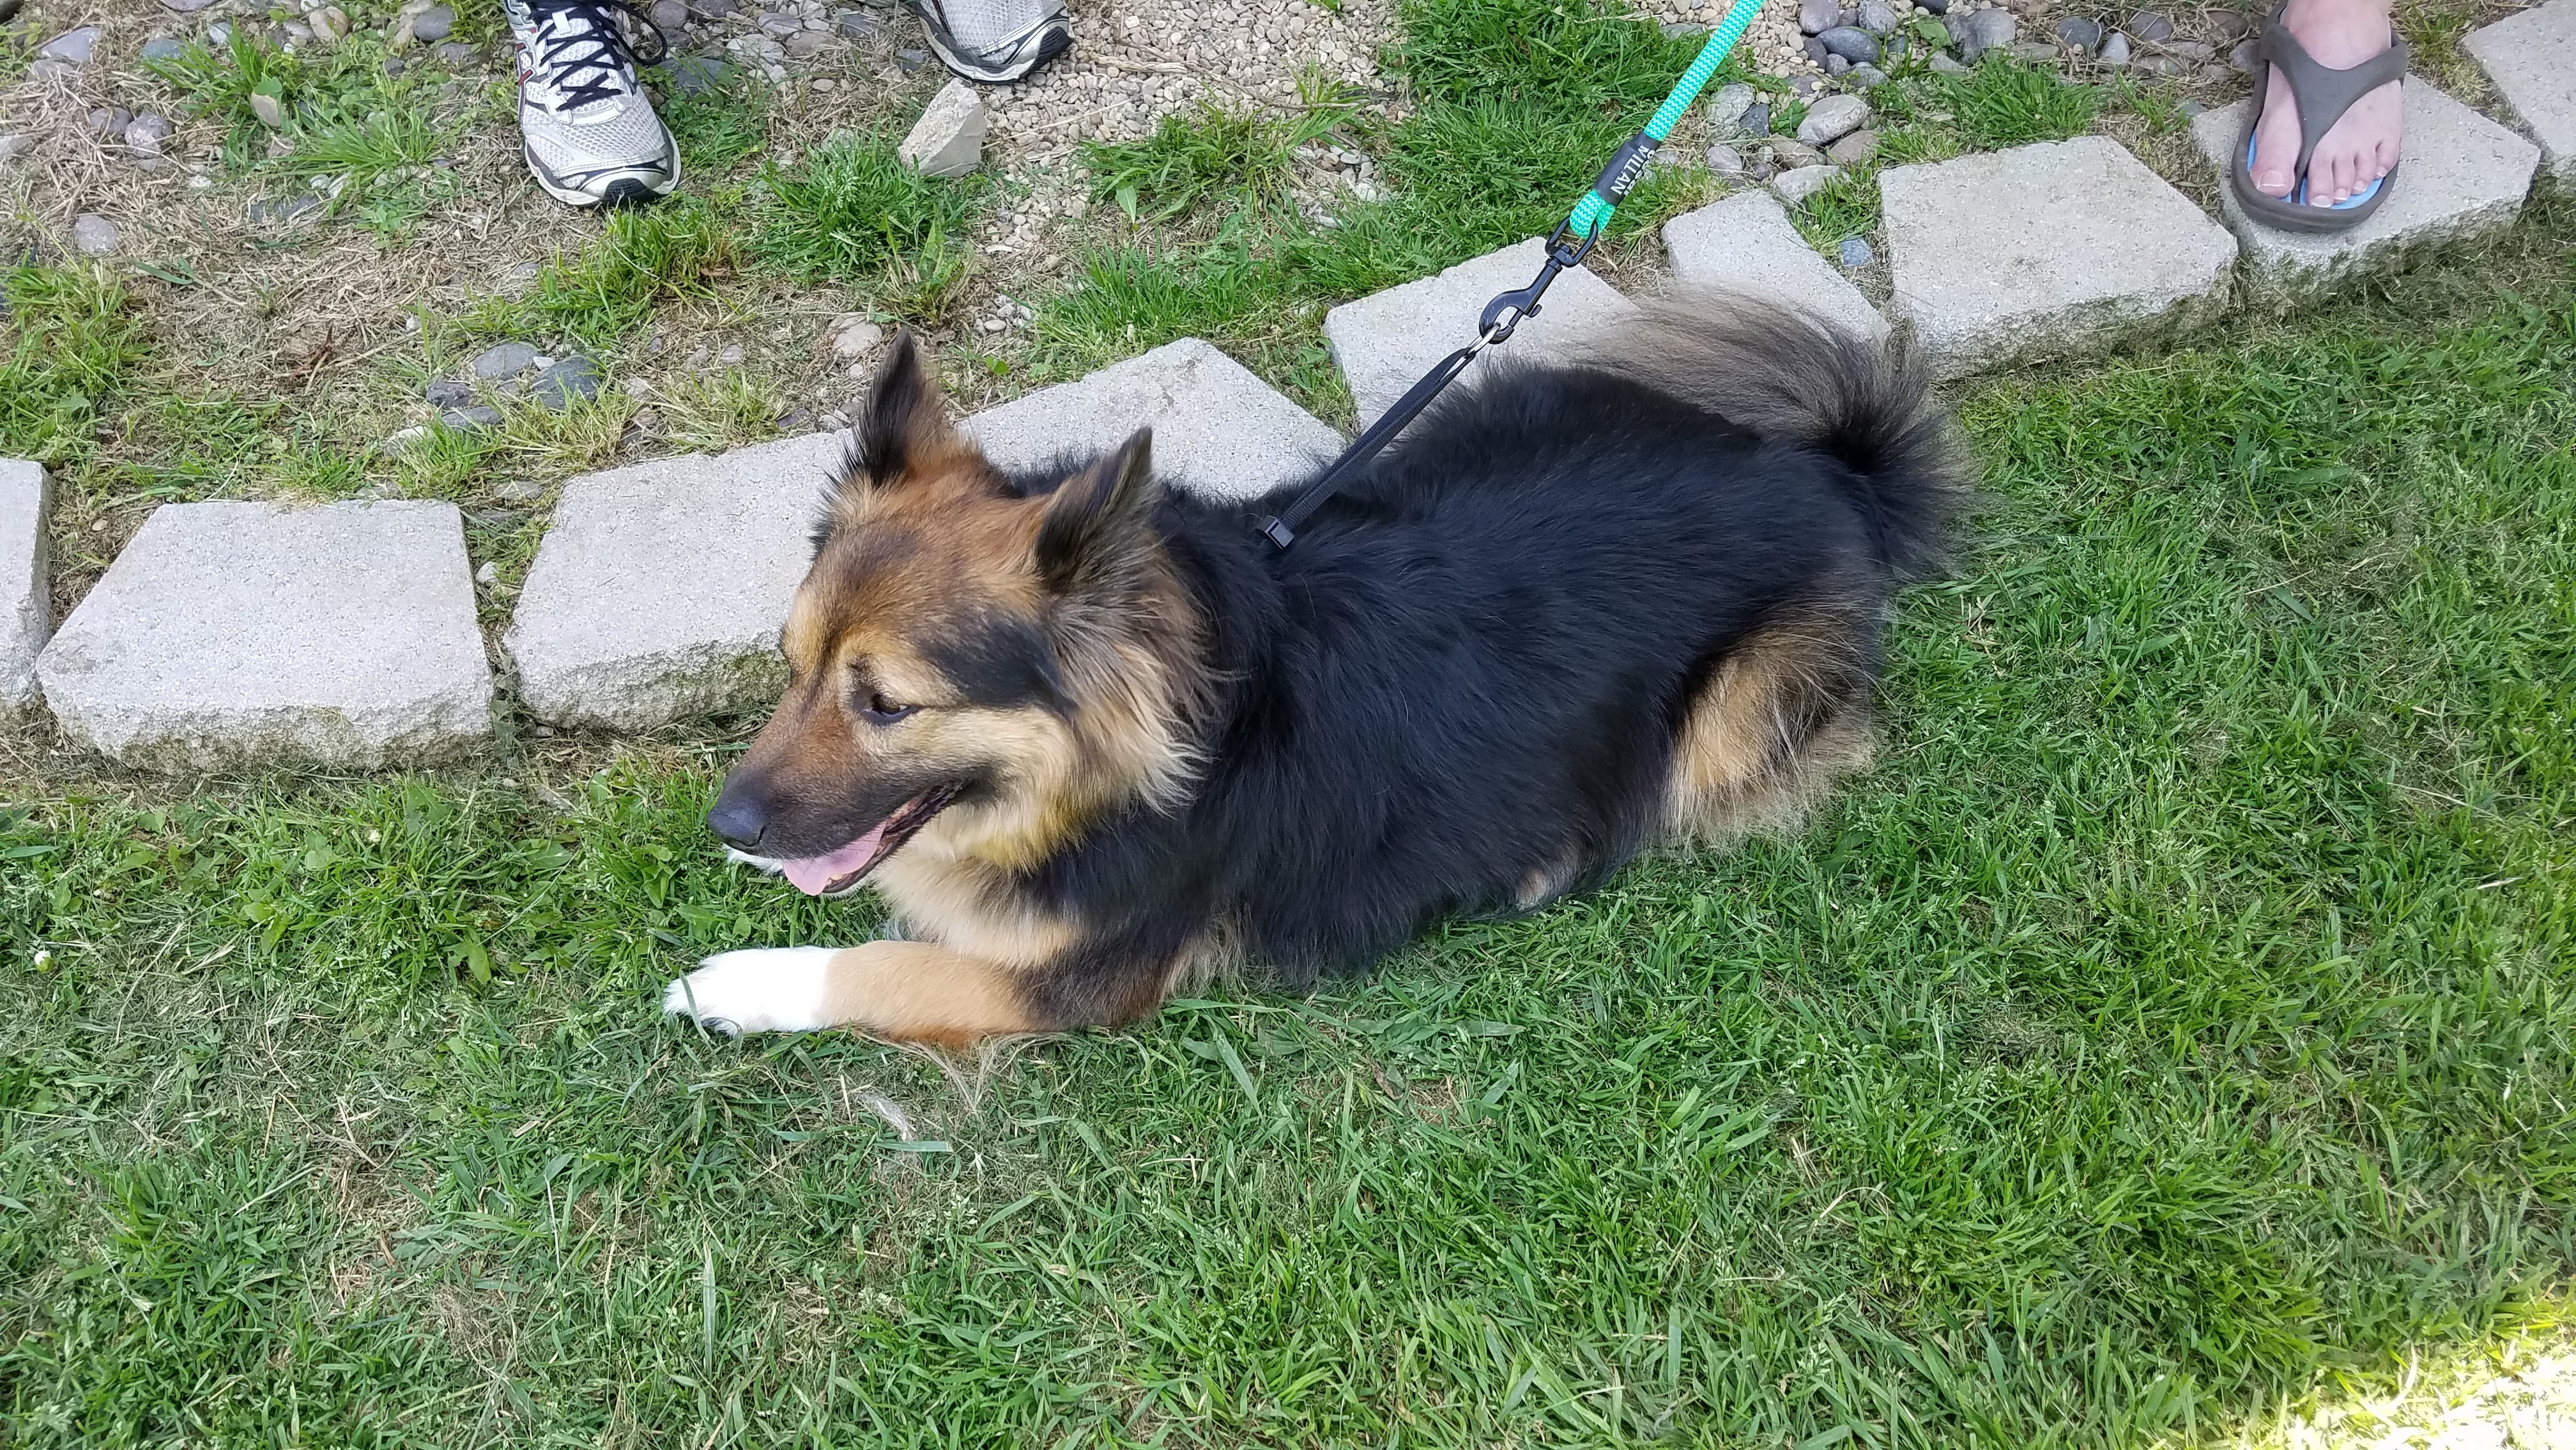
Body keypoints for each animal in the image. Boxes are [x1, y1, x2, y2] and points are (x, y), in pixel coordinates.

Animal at [662, 296, 1965, 1048]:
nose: (726, 823)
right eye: (790, 665)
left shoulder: (1076, 983)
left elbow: (886, 968)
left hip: (1734, 721)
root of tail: (1819, 469)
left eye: (887, 703)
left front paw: (738, 985)